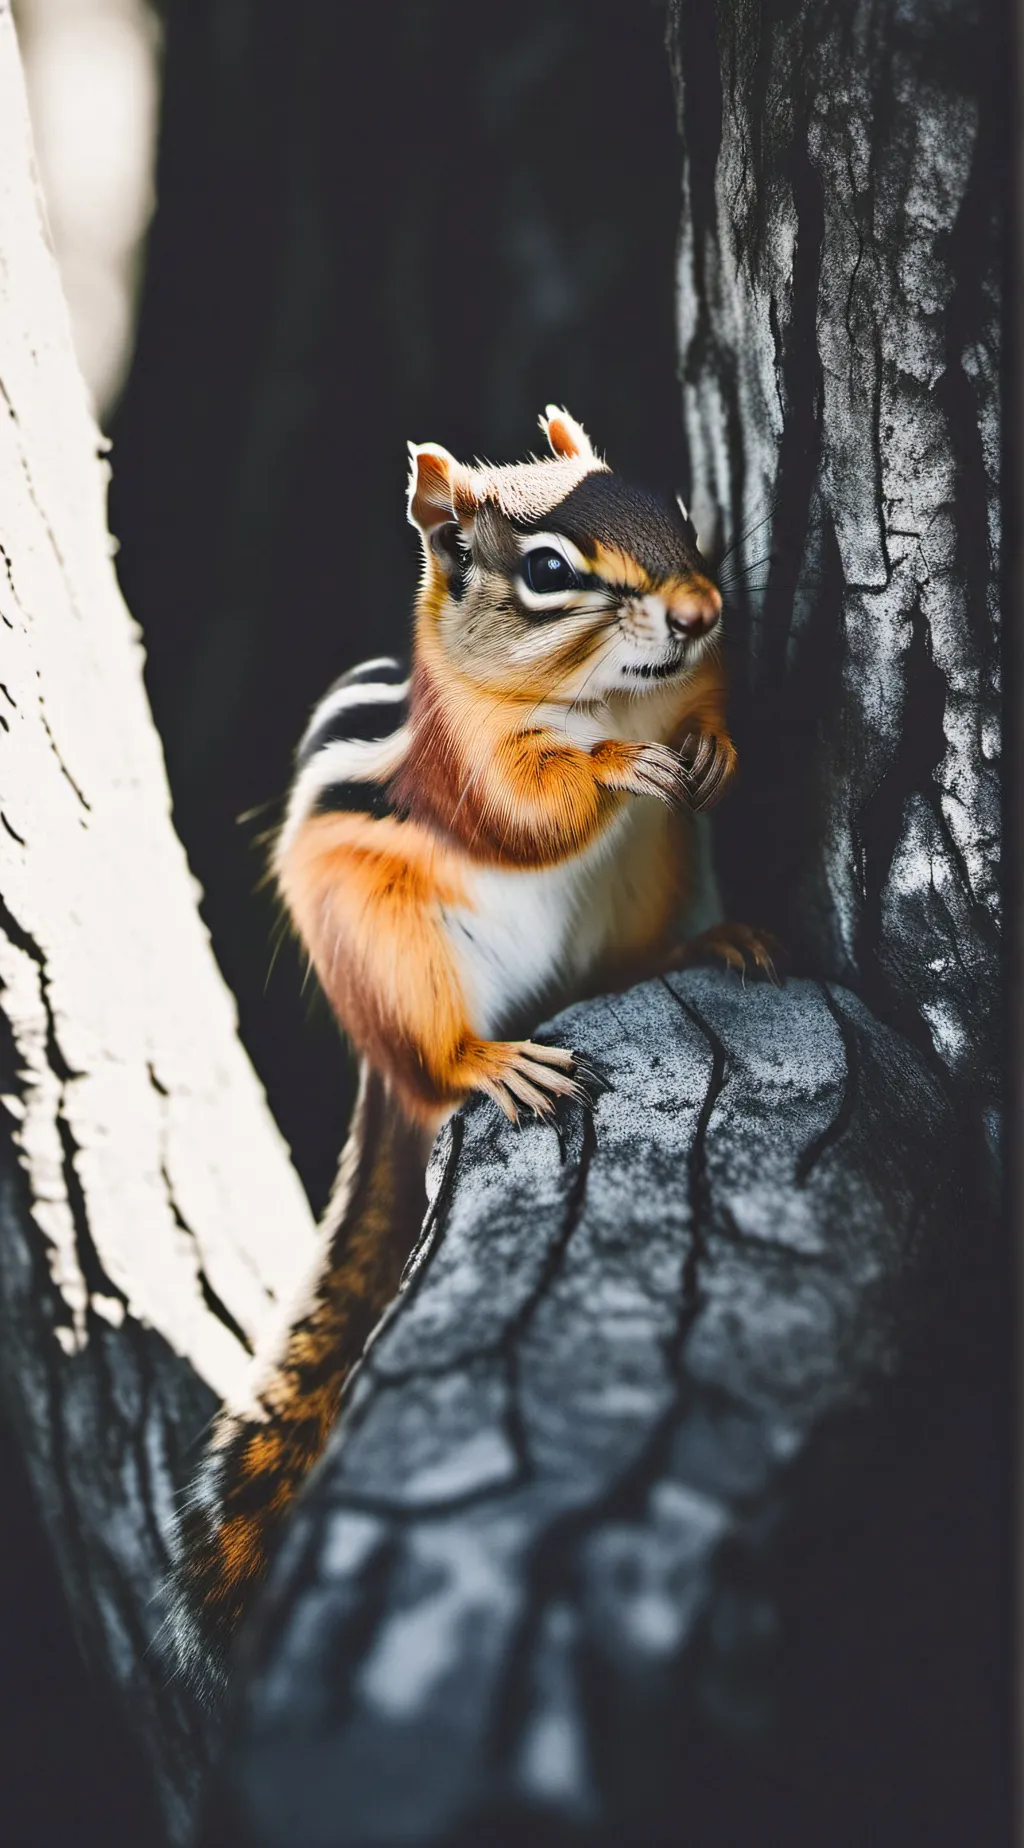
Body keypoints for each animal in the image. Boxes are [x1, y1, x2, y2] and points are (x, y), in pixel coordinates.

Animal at [171, 406, 776, 1695]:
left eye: (679, 510)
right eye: (547, 569)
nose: (700, 611)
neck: (617, 698)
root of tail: (376, 1070)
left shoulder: (691, 688)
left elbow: (708, 718)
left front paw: (711, 752)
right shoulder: (469, 772)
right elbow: (529, 814)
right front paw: (611, 771)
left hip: (644, 883)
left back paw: (714, 937)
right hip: (393, 954)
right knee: (436, 1057)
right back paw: (489, 1064)